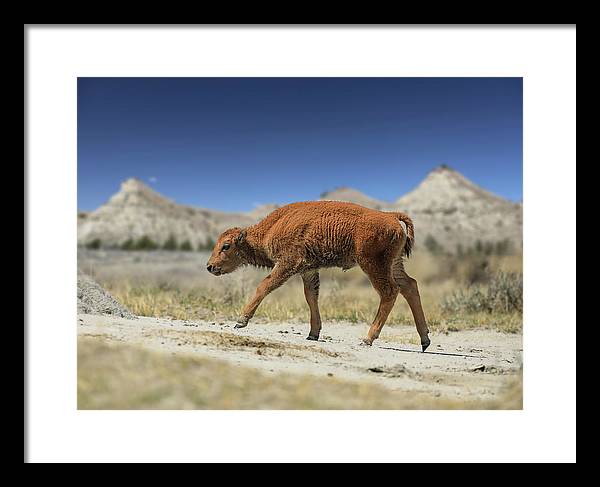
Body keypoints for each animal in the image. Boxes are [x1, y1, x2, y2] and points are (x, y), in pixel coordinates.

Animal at [206, 201, 432, 350]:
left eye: (226, 246)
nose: (209, 266)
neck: (270, 229)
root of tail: (391, 216)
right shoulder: (308, 270)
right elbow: (311, 297)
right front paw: (313, 334)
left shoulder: (288, 264)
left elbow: (265, 285)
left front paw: (241, 321)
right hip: (394, 264)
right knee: (410, 286)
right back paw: (424, 340)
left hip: (373, 265)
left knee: (389, 291)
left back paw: (368, 338)